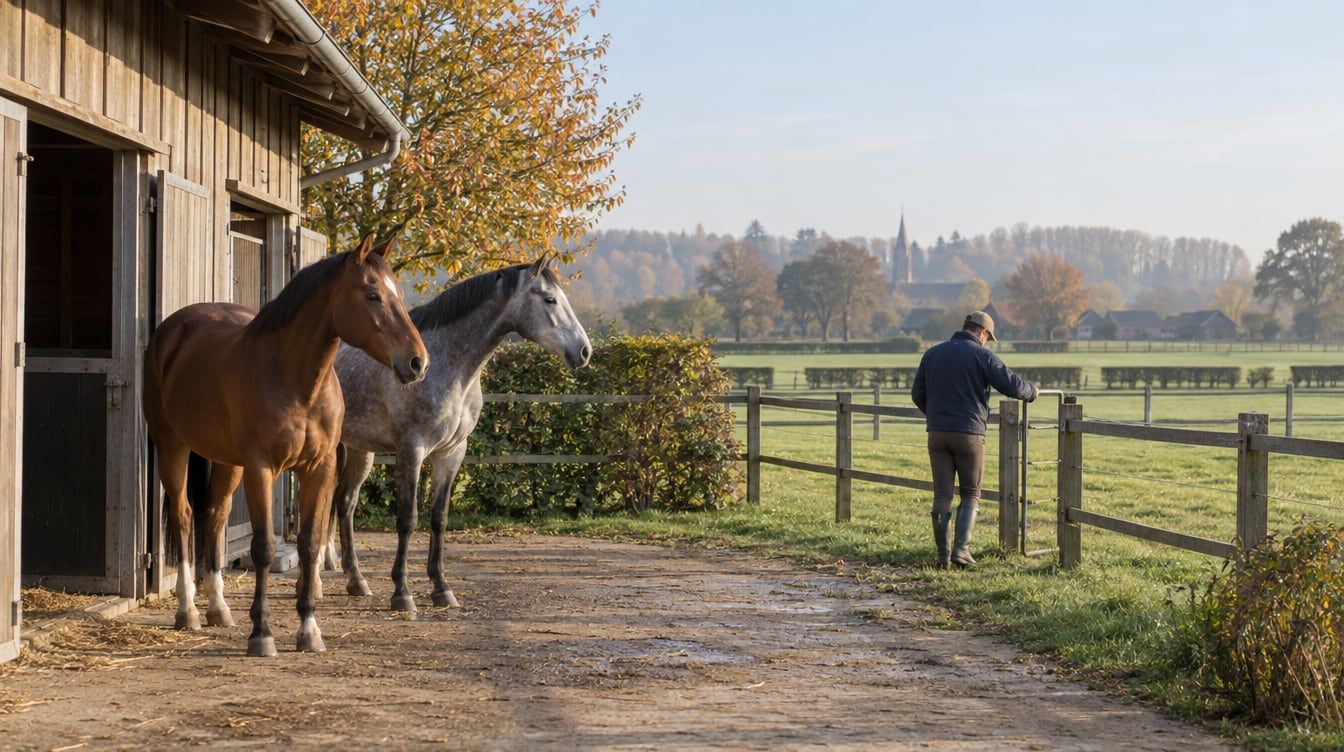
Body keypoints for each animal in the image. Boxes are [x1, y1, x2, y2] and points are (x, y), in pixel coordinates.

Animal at [142, 233, 428, 656]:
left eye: (400, 293)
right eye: (373, 294)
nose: (417, 362)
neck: (295, 380)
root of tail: (172, 331)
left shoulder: (319, 468)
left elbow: (309, 543)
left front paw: (308, 630)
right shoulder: (261, 468)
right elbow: (262, 547)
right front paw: (261, 633)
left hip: (227, 462)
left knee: (214, 516)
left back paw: (218, 608)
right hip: (171, 445)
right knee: (183, 517)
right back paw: (188, 611)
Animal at [330, 257, 590, 612]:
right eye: (550, 299)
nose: (584, 351)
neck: (445, 364)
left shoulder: (452, 453)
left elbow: (439, 518)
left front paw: (441, 588)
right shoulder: (411, 450)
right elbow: (407, 518)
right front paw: (402, 593)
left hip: (360, 450)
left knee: (345, 503)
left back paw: (356, 581)